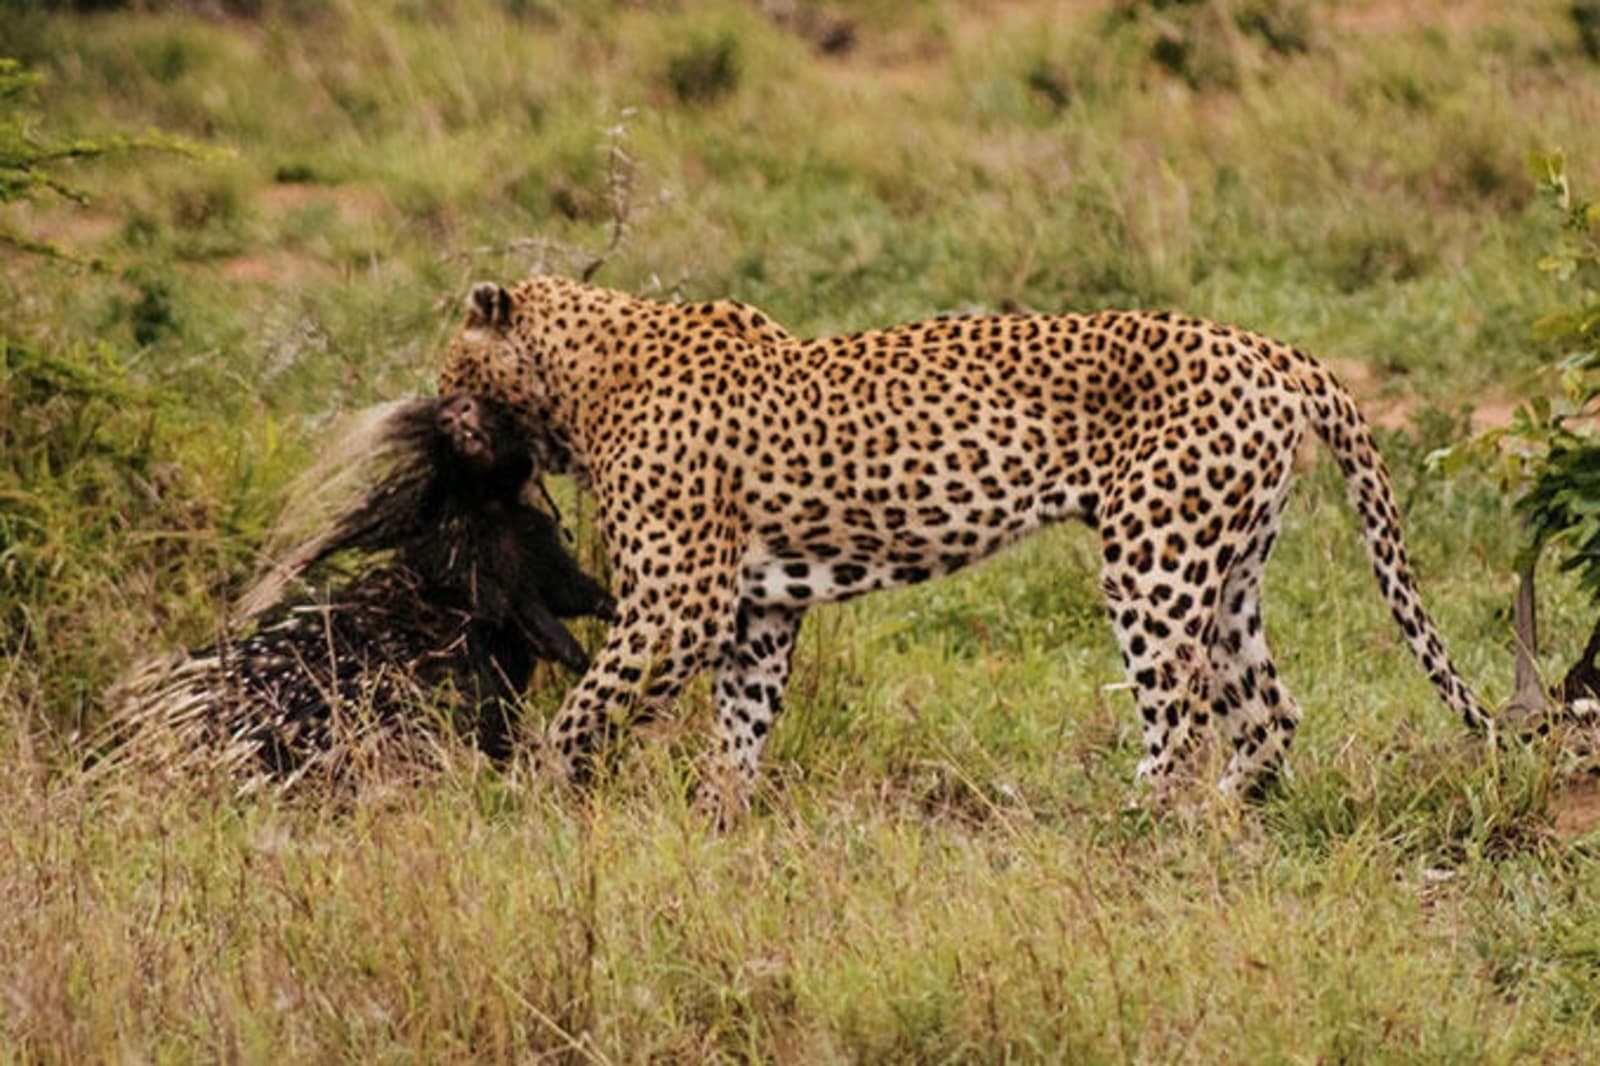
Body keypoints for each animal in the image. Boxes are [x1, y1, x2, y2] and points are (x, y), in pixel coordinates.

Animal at [439, 274, 1493, 818]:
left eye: (449, 368)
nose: (438, 417)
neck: (580, 381)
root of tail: (1272, 349)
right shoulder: (757, 610)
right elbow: (740, 727)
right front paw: (719, 821)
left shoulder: (678, 607)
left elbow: (585, 712)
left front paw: (530, 799)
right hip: (1227, 569)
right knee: (1269, 714)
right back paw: (1228, 821)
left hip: (1153, 559)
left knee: (1183, 726)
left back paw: (1136, 828)